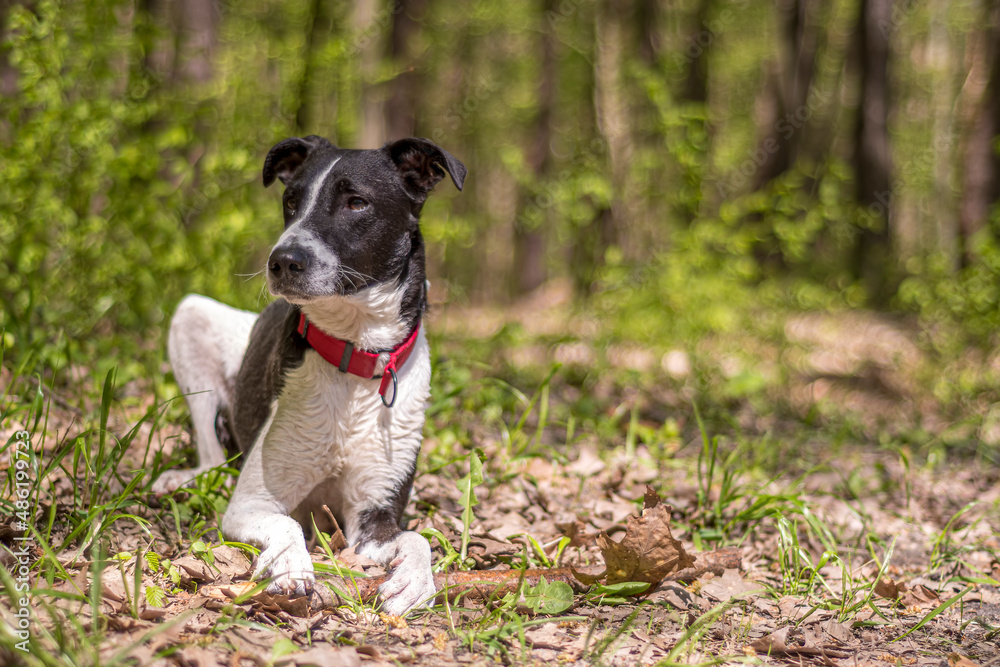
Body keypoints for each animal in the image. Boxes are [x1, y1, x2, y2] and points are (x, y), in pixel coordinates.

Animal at [156, 134, 468, 616]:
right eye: (290, 201)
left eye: (356, 202)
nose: (282, 260)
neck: (355, 357)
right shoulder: (252, 503)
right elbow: (287, 525)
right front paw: (290, 565)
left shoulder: (373, 518)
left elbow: (416, 538)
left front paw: (415, 580)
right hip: (191, 318)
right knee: (210, 452)